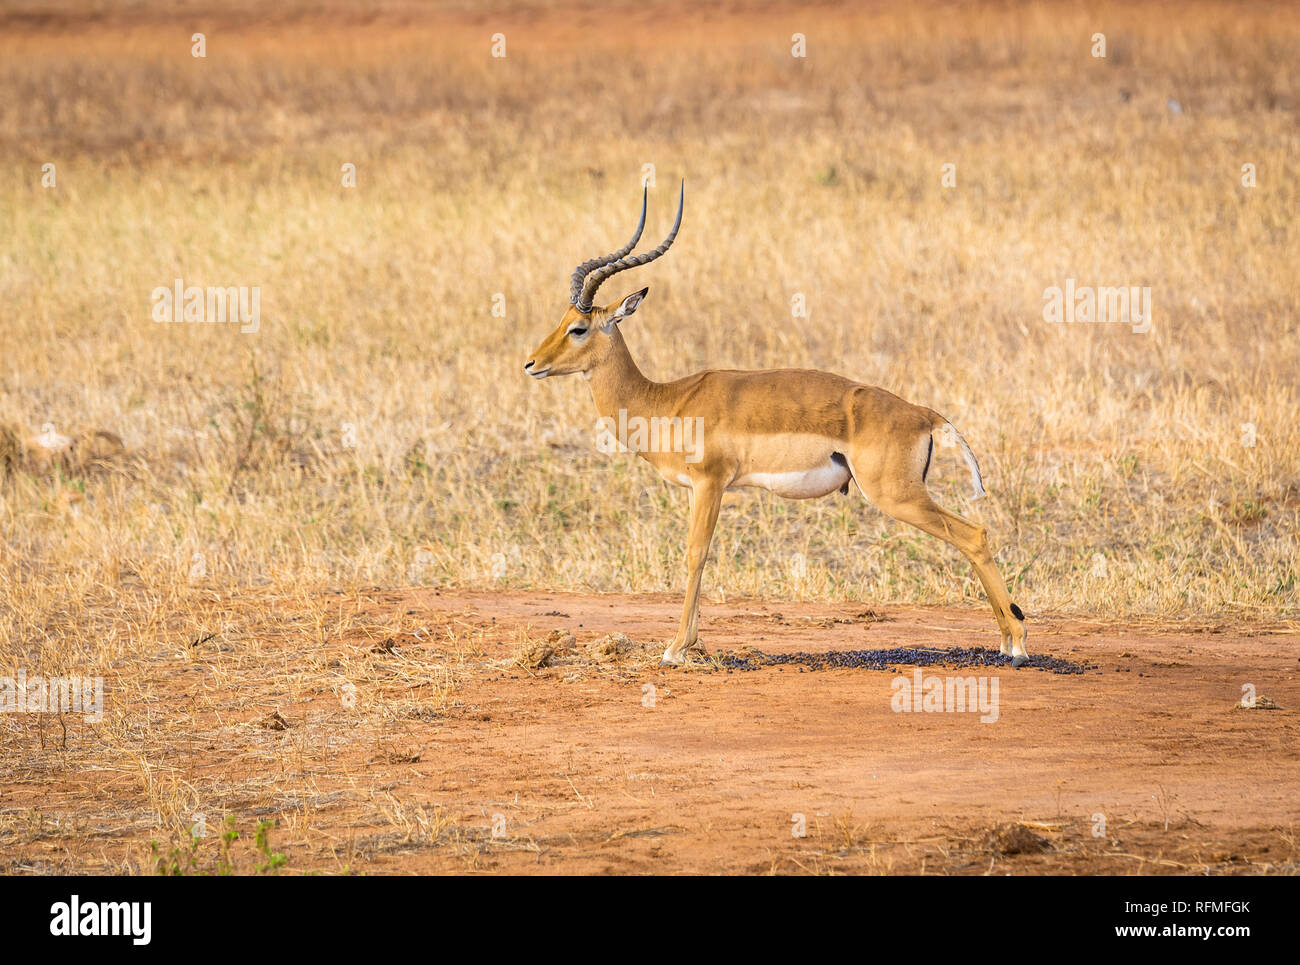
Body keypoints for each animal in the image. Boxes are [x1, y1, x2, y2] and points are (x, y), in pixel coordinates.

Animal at [522, 191, 1029, 671]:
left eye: (579, 328)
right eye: (561, 321)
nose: (531, 364)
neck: (666, 401)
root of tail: (924, 414)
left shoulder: (711, 483)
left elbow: (695, 554)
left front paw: (675, 649)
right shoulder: (701, 489)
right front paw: (692, 645)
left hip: (896, 495)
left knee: (974, 535)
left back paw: (1017, 644)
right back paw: (1008, 641)